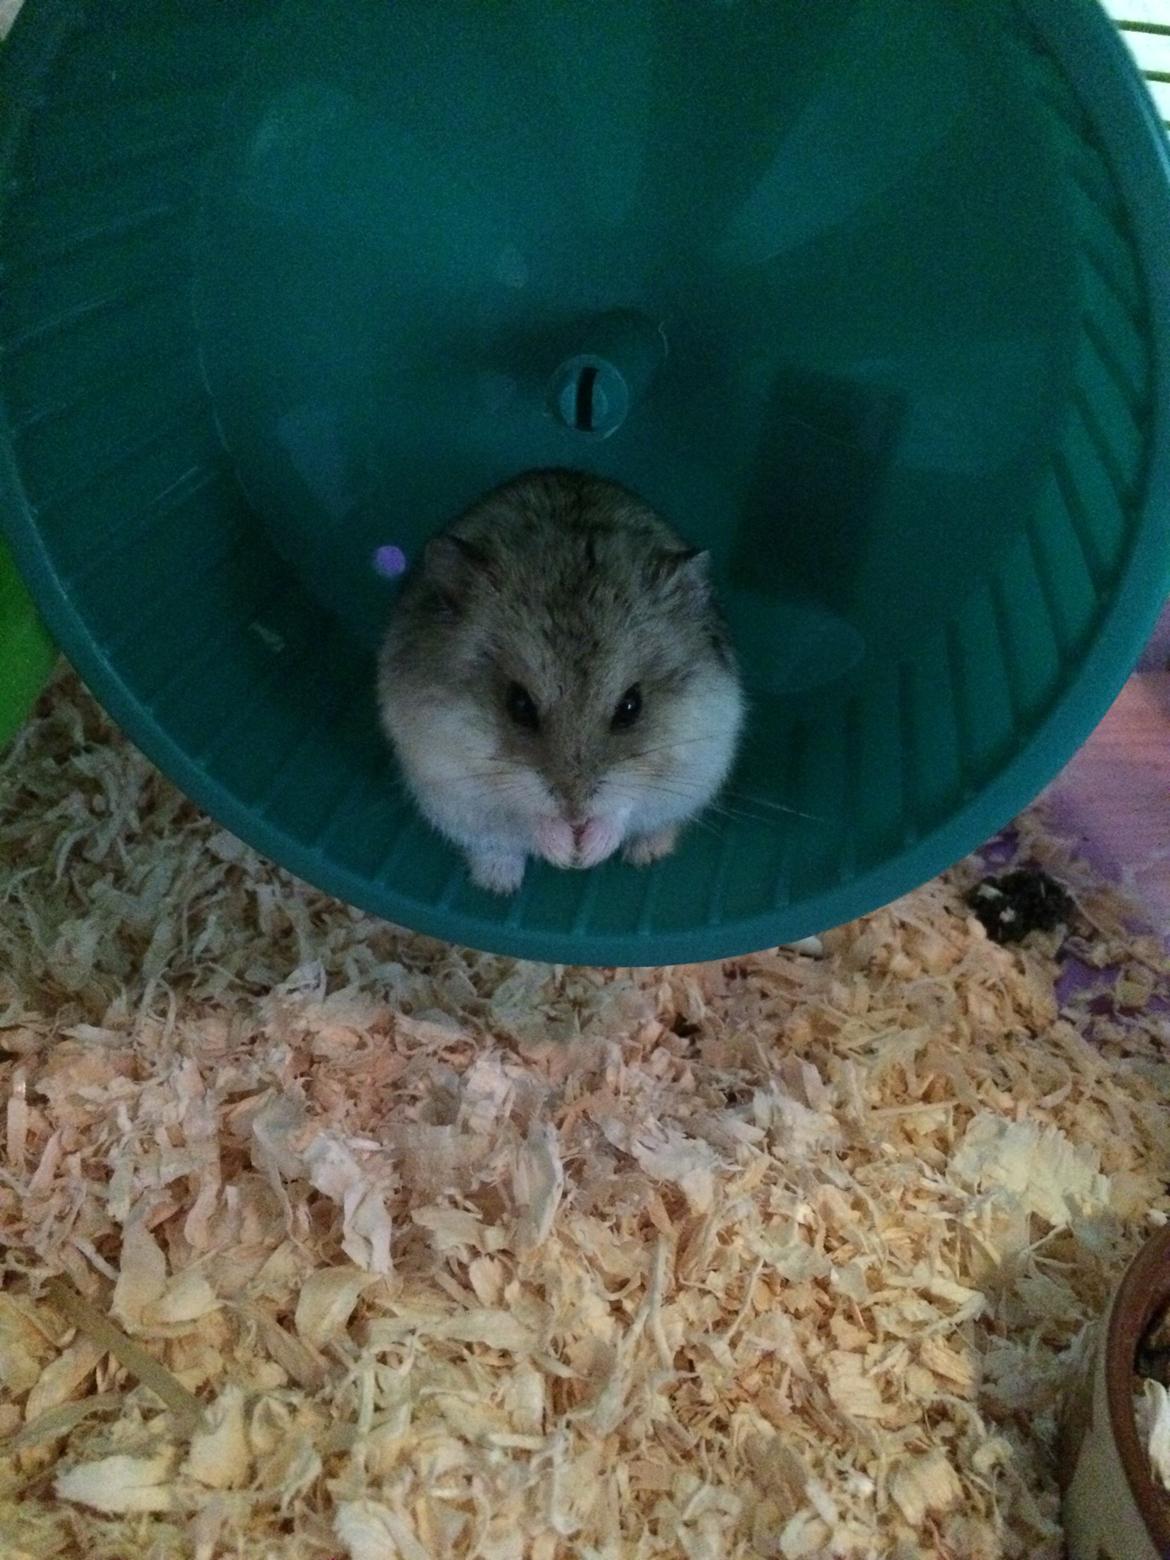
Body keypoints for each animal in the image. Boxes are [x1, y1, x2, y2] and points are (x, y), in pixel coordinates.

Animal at [377, 468, 744, 895]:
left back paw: (646, 854)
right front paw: (567, 855)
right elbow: (525, 813)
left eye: (630, 708)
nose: (575, 813)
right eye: (519, 706)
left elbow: (623, 805)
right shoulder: (451, 767)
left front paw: (585, 854)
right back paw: (498, 883)